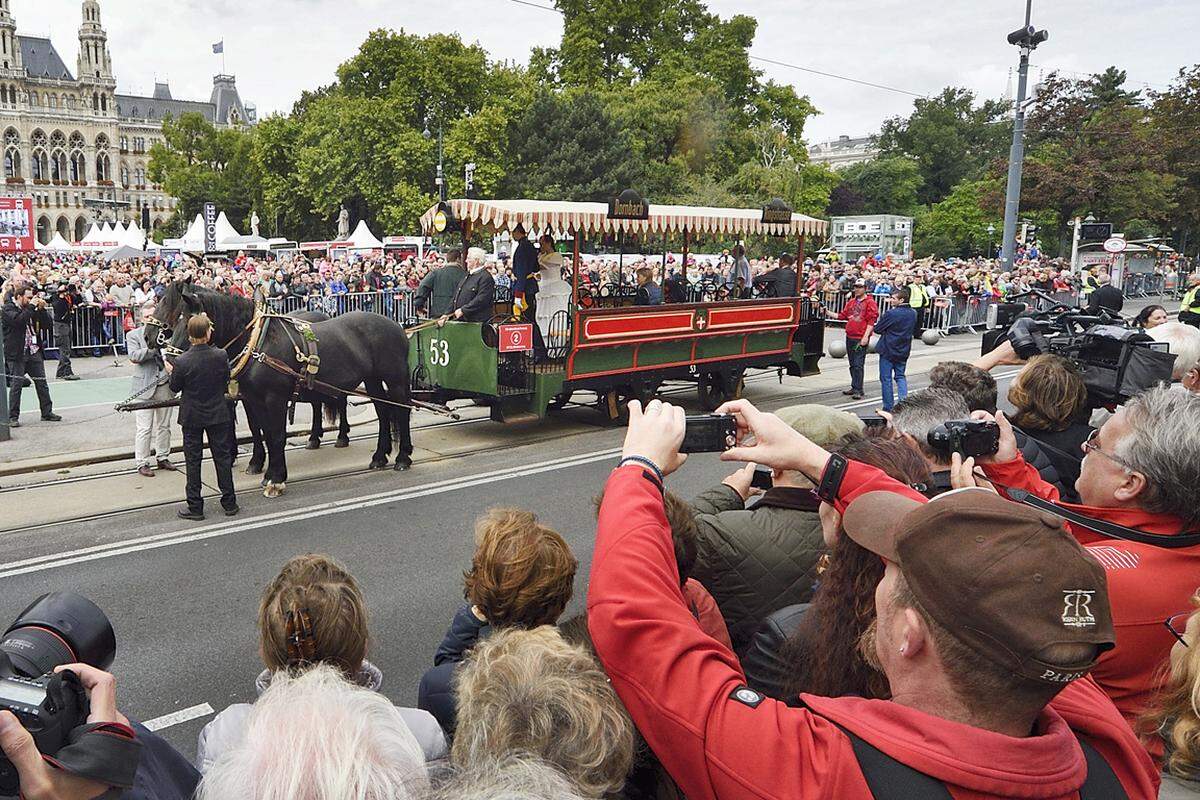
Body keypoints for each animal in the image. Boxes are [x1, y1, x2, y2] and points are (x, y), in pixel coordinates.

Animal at [149, 278, 415, 496]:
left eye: (189, 321)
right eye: (177, 316)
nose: (170, 360)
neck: (258, 343)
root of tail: (397, 326)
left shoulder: (274, 399)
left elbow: (276, 434)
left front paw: (276, 479)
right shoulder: (253, 399)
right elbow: (264, 432)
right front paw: (266, 470)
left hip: (395, 379)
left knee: (401, 411)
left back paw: (402, 457)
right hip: (371, 380)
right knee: (383, 412)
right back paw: (379, 456)